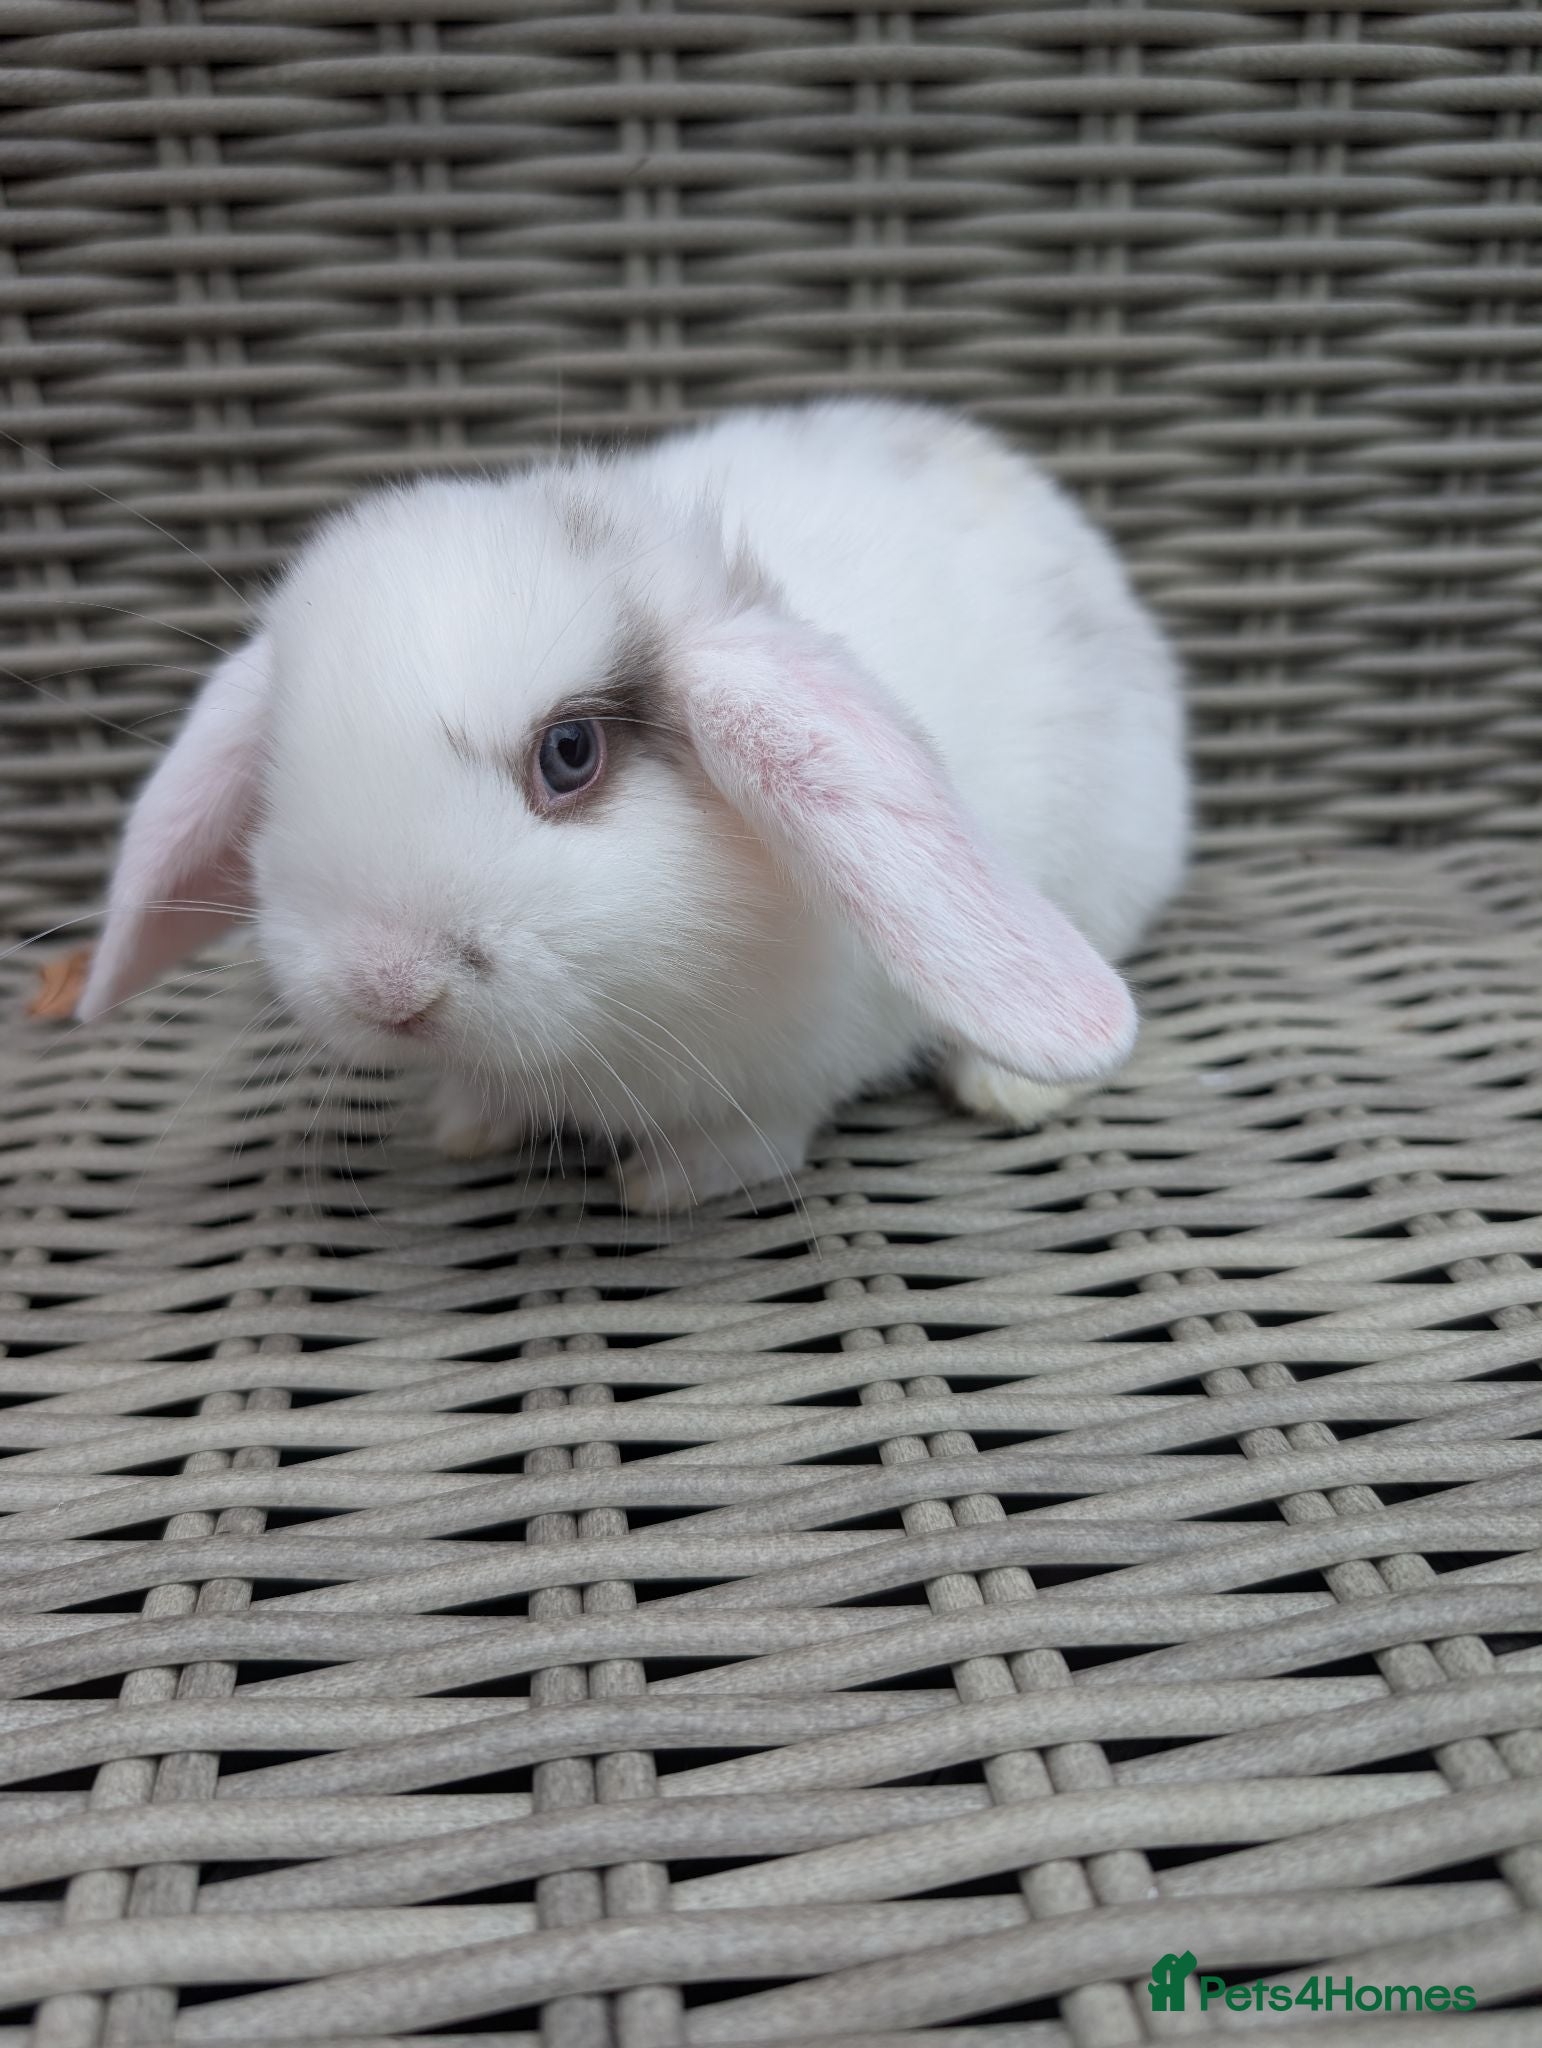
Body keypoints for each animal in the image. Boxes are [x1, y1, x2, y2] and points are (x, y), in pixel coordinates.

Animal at [78, 398, 1189, 1212]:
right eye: (279, 766)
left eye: (571, 753)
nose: (389, 989)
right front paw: (466, 1124)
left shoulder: (790, 1074)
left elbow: (761, 1138)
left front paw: (665, 1183)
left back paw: (1010, 1088)